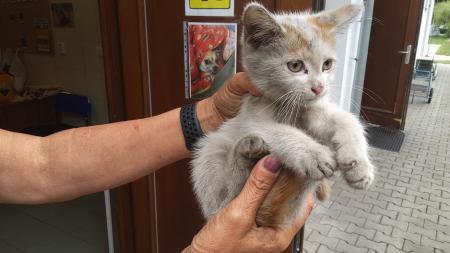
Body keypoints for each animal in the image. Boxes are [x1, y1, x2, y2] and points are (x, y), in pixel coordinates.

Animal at [192, 2, 374, 227]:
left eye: (327, 65)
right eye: (295, 66)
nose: (319, 88)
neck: (288, 105)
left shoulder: (311, 109)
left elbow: (346, 120)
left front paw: (359, 164)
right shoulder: (249, 113)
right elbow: (276, 131)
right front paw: (314, 155)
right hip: (211, 150)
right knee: (224, 200)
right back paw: (245, 152)